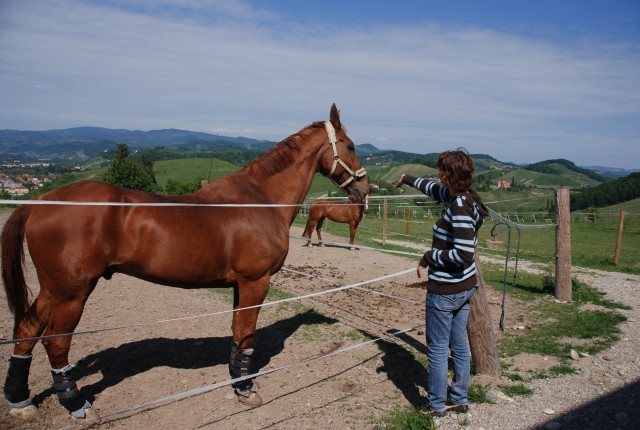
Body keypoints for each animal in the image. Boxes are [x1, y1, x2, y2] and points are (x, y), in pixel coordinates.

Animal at [2, 105, 368, 420]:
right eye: (350, 145)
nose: (364, 189)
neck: (261, 200)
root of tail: (41, 201)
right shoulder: (256, 281)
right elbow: (246, 335)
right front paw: (246, 389)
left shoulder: (240, 284)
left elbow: (236, 333)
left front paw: (236, 380)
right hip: (71, 293)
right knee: (55, 343)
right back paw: (78, 405)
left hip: (53, 289)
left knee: (26, 330)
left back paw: (20, 401)